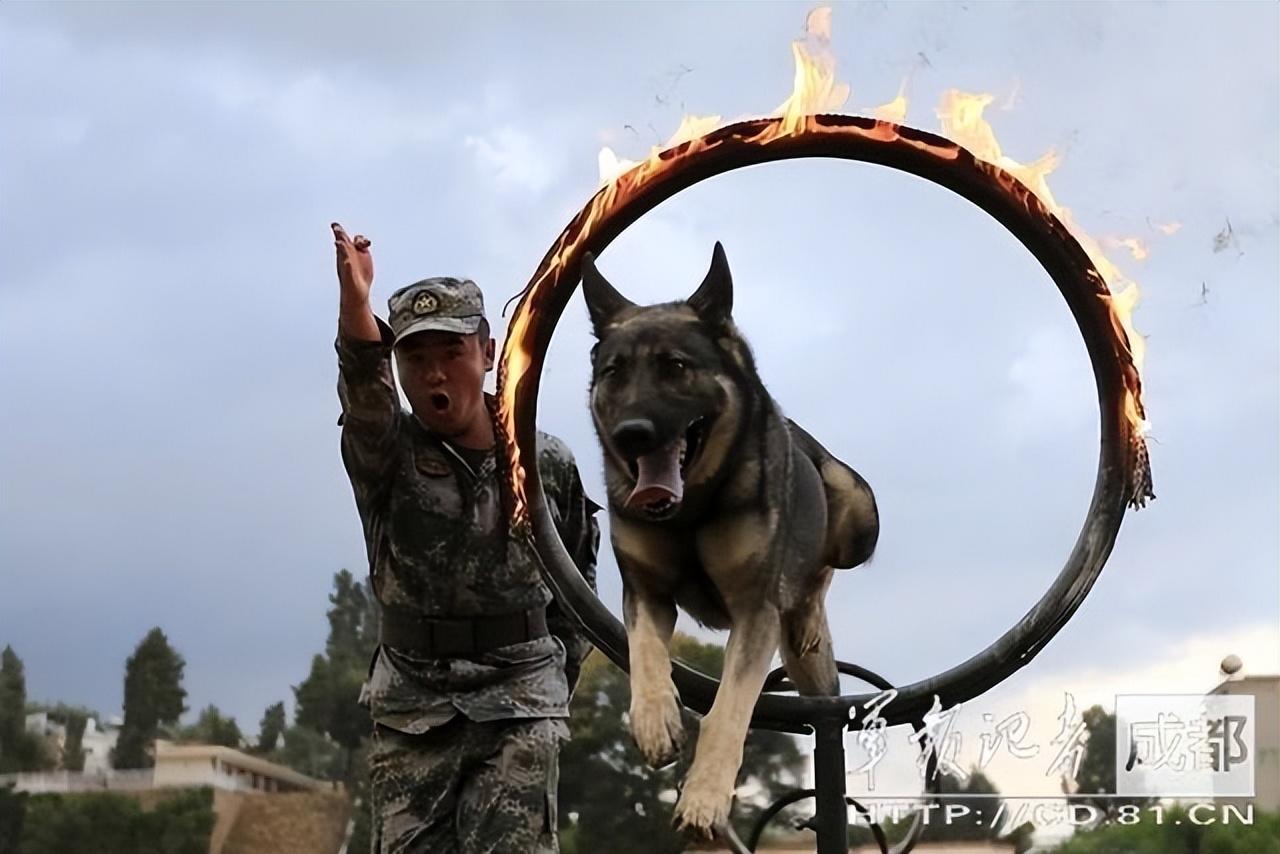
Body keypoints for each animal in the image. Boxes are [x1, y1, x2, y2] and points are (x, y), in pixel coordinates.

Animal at [581, 243, 880, 839]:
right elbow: (646, 653)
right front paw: (655, 723)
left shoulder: (755, 610)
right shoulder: (645, 592)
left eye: (675, 366)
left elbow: (730, 709)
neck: (693, 508)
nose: (631, 435)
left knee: (821, 571)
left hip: (857, 511)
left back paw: (807, 615)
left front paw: (704, 800)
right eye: (613, 373)